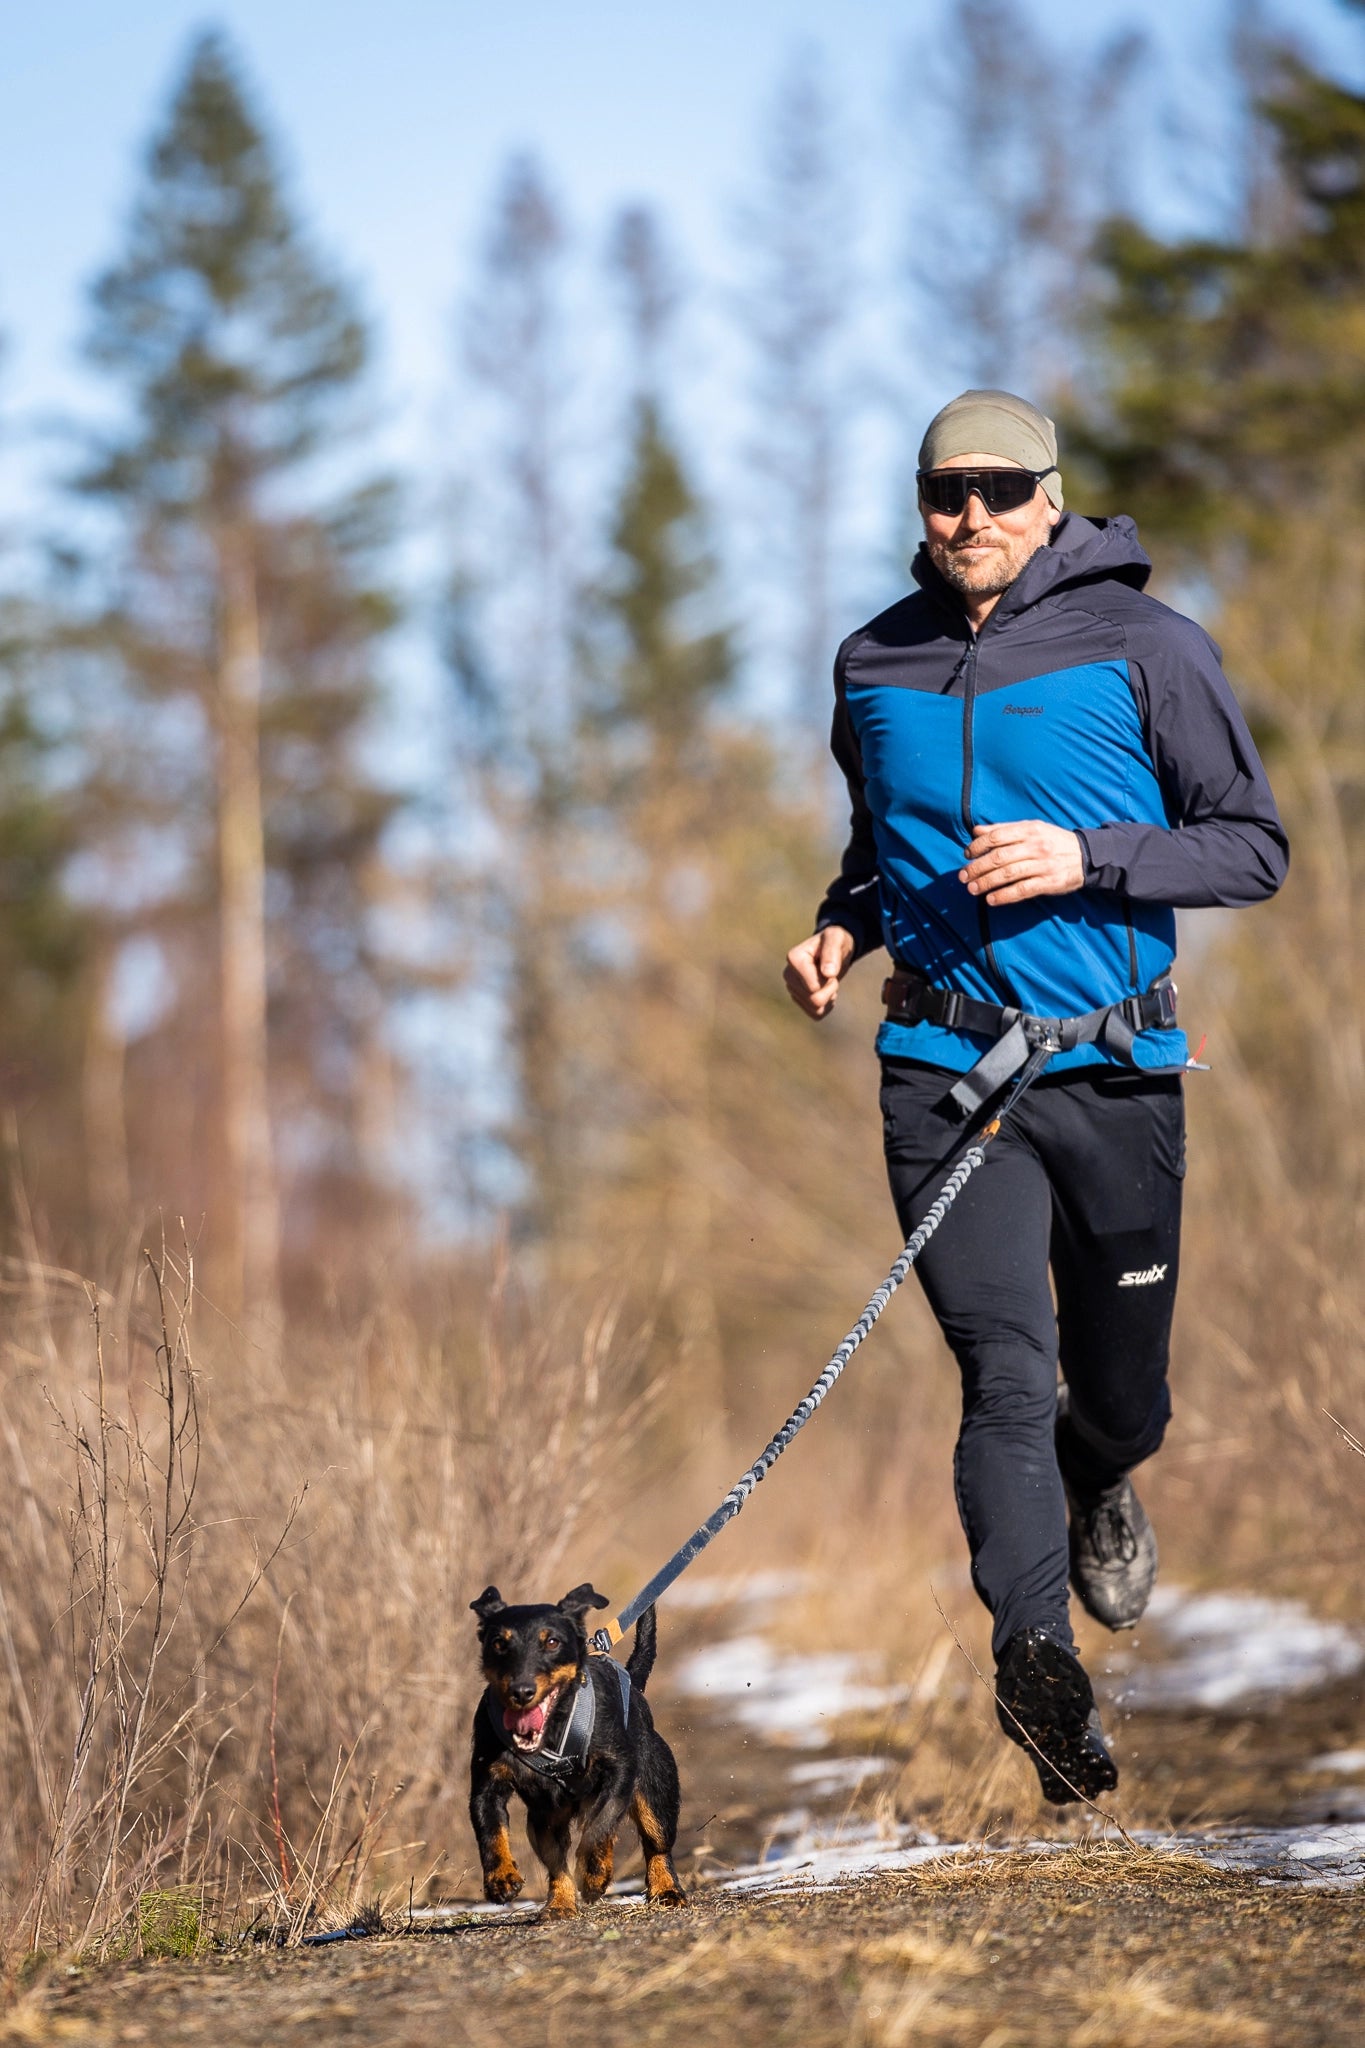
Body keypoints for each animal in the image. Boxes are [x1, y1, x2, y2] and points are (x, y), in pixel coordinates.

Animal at [470, 1581, 687, 1916]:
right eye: (498, 1643)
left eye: (552, 1642)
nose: (521, 1691)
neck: (550, 1733)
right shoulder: (486, 1782)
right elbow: (490, 1829)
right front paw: (501, 1879)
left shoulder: (620, 1771)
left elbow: (600, 1825)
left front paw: (595, 1874)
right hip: (543, 1821)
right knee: (557, 1863)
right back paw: (559, 1904)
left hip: (656, 1789)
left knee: (657, 1843)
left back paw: (667, 1889)